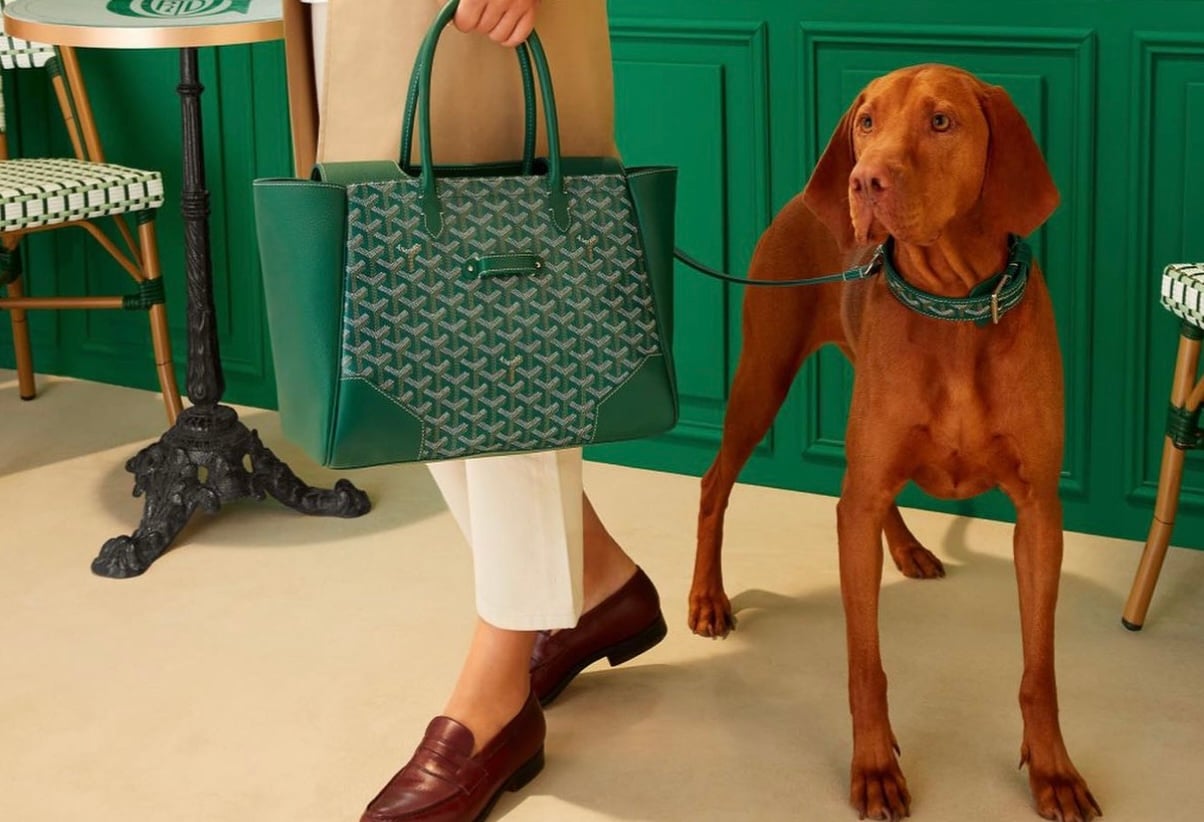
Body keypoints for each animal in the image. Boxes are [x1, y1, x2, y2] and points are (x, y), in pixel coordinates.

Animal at [688, 61, 1102, 818]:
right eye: (866, 122)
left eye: (942, 121)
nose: (864, 181)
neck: (955, 307)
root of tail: (801, 200)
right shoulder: (863, 496)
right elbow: (866, 666)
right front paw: (875, 767)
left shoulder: (1039, 513)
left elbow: (1040, 670)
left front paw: (1054, 771)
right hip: (763, 375)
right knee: (716, 483)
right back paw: (707, 598)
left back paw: (907, 547)